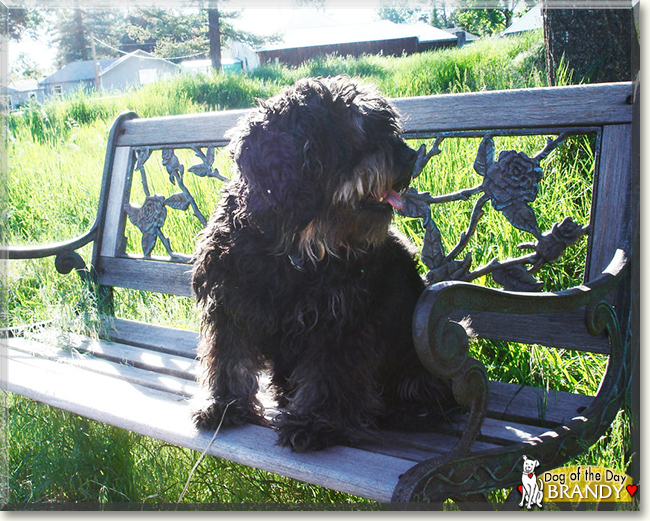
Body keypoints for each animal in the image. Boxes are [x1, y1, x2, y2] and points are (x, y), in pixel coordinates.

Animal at [191, 76, 456, 450]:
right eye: (360, 131)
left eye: (388, 127)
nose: (409, 156)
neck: (292, 243)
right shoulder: (228, 306)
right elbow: (228, 361)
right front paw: (223, 403)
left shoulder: (341, 326)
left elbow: (328, 378)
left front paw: (315, 422)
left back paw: (412, 411)